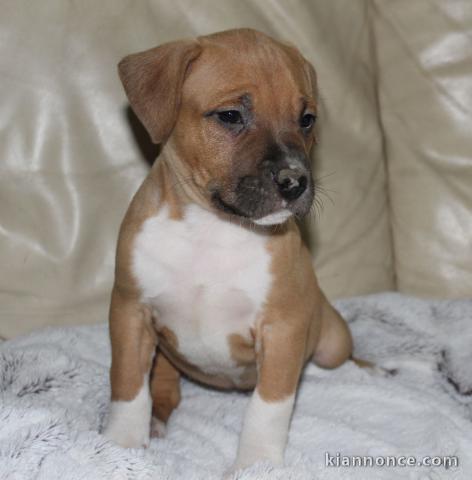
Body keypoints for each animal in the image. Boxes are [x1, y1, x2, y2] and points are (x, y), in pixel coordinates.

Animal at [104, 28, 354, 470]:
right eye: (231, 116)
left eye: (306, 119)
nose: (296, 181)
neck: (213, 228)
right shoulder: (130, 311)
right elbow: (129, 385)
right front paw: (121, 445)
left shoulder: (282, 329)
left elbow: (268, 408)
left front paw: (257, 463)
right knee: (165, 387)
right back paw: (157, 421)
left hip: (333, 341)